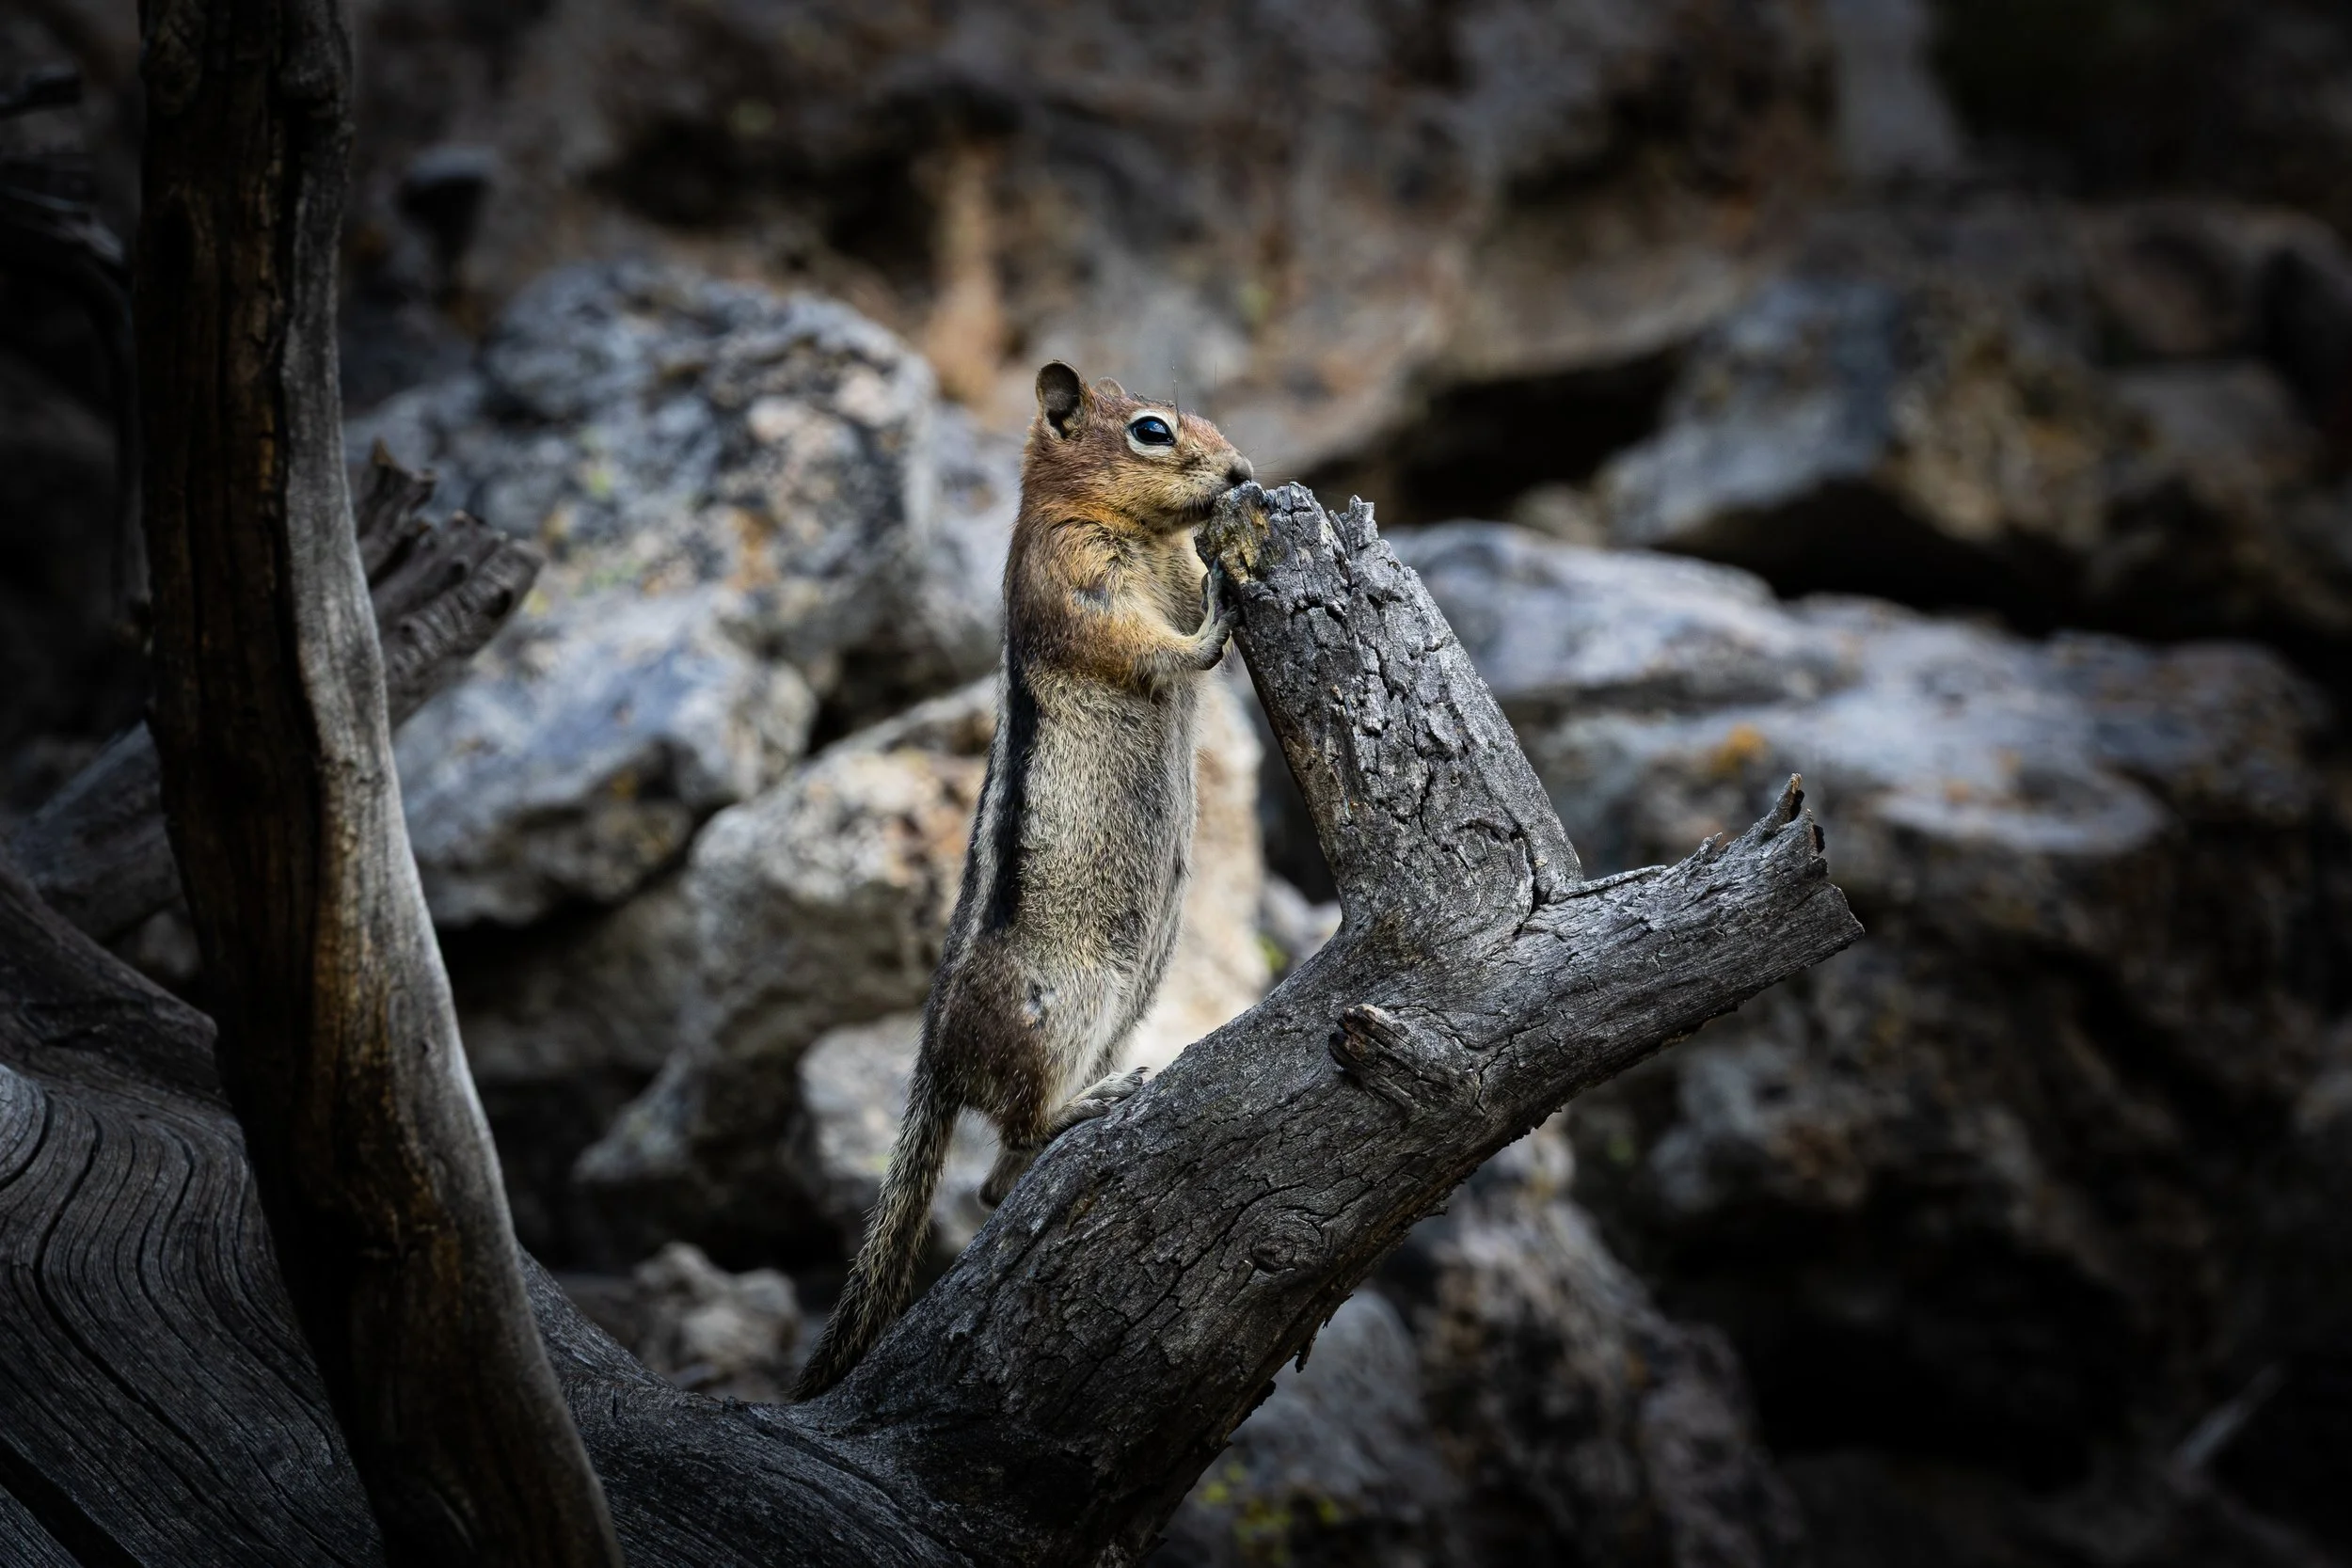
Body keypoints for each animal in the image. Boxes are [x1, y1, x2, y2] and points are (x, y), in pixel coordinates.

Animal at [793, 362, 1256, 1399]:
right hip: (1058, 1010)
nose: (1244, 472)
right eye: (1152, 430)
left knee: (997, 1180)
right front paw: (1214, 618)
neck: (1127, 527)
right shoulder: (1070, 578)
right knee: (1008, 1146)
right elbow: (1143, 644)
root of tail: (934, 1055)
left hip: (1125, 1003)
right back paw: (1080, 1106)